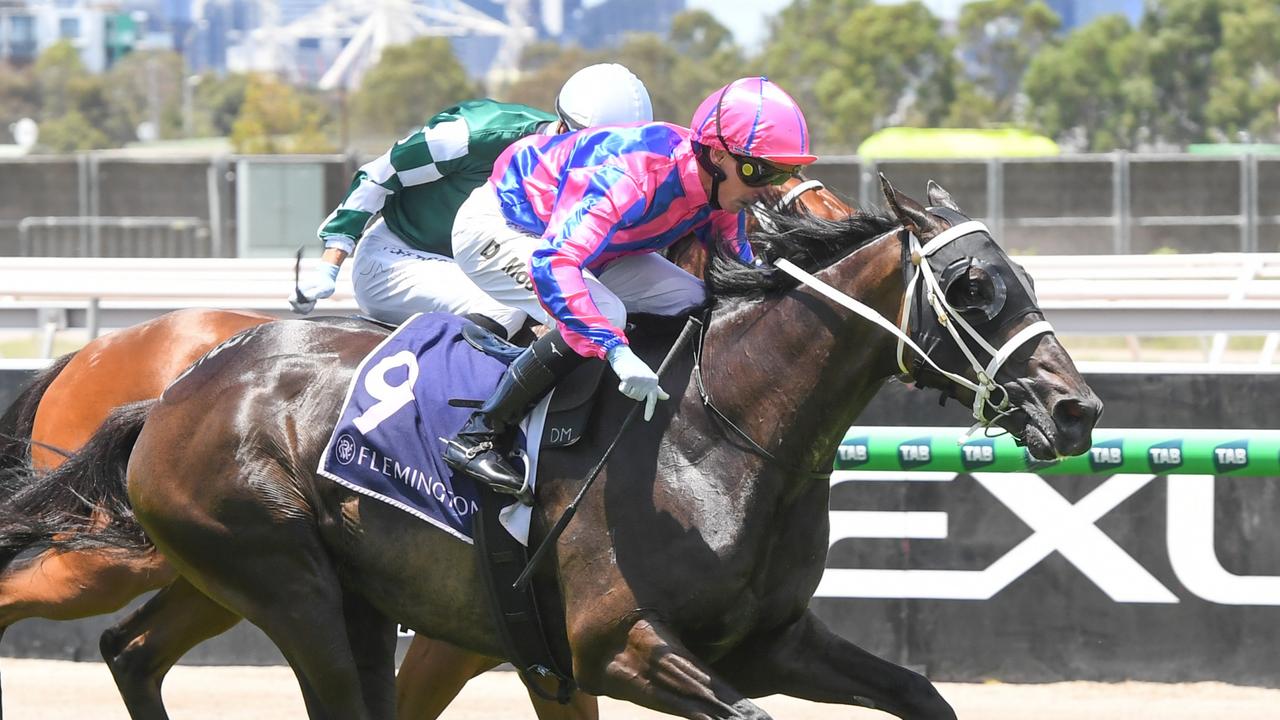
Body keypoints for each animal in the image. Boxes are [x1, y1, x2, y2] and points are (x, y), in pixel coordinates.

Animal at [10, 176, 1095, 712]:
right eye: (971, 289)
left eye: (1027, 279)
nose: (1076, 409)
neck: (715, 436)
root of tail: (177, 387)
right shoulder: (612, 647)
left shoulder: (767, 642)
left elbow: (924, 696)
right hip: (276, 580)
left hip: (244, 577)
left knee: (132, 651)